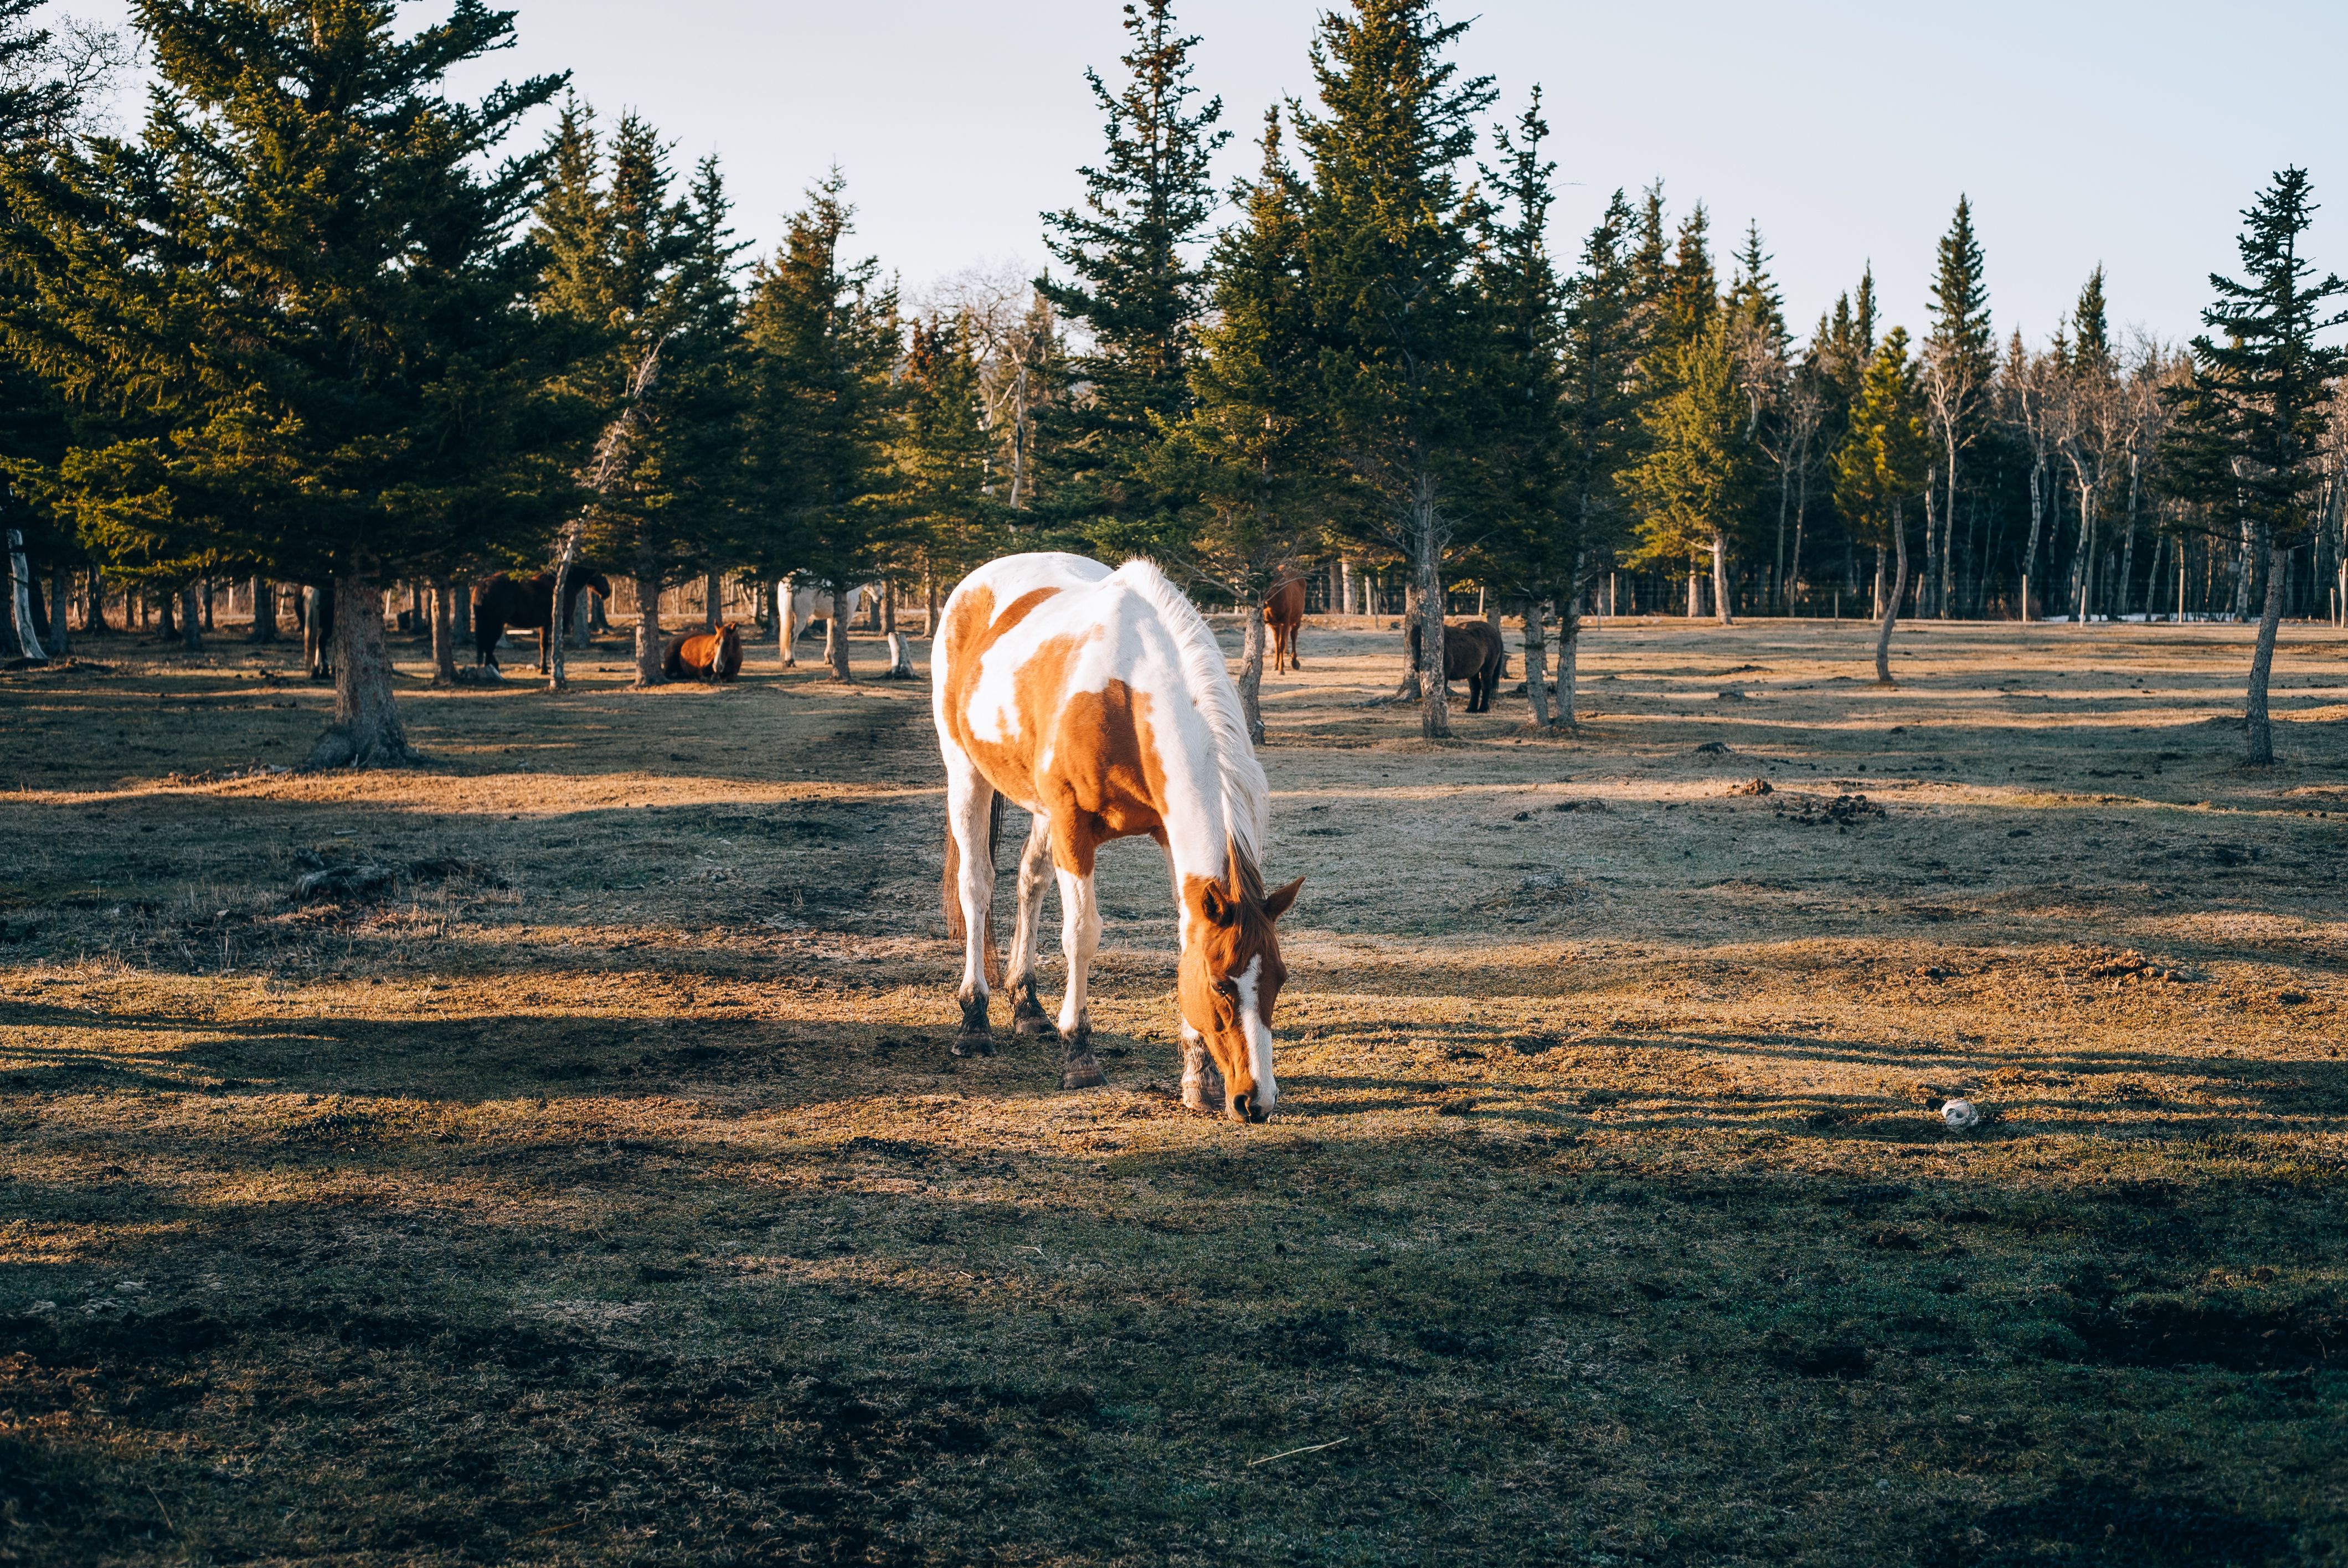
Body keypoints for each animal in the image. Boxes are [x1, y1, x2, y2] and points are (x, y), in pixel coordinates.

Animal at [472, 569, 611, 672]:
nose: (608, 592)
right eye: (602, 575)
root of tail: (484, 584)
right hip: (496, 624)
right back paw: (492, 668)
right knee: (489, 645)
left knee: (486, 645)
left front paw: (543, 669)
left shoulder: (544, 625)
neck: (568, 584)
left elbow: (543, 646)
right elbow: (557, 644)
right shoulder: (563, 622)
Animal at [663, 622, 743, 682]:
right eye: (715, 642)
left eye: (728, 643)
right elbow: (705, 675)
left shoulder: (734, 673)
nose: (717, 666)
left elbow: (728, 678)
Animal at [1266, 576, 1307, 673]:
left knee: (1293, 636)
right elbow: (1277, 644)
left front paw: (1281, 669)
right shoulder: (1273, 625)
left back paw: (1294, 662)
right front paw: (1276, 665)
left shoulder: (1285, 622)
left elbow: (1282, 644)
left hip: (1297, 620)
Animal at [1407, 618, 1509, 712]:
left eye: (1422, 645)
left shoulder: (1445, 672)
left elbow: (1443, 689)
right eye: (1412, 645)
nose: (1416, 666)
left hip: (1487, 668)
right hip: (1473, 672)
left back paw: (1483, 709)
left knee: (1486, 686)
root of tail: (1495, 633)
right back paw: (1471, 709)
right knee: (1476, 687)